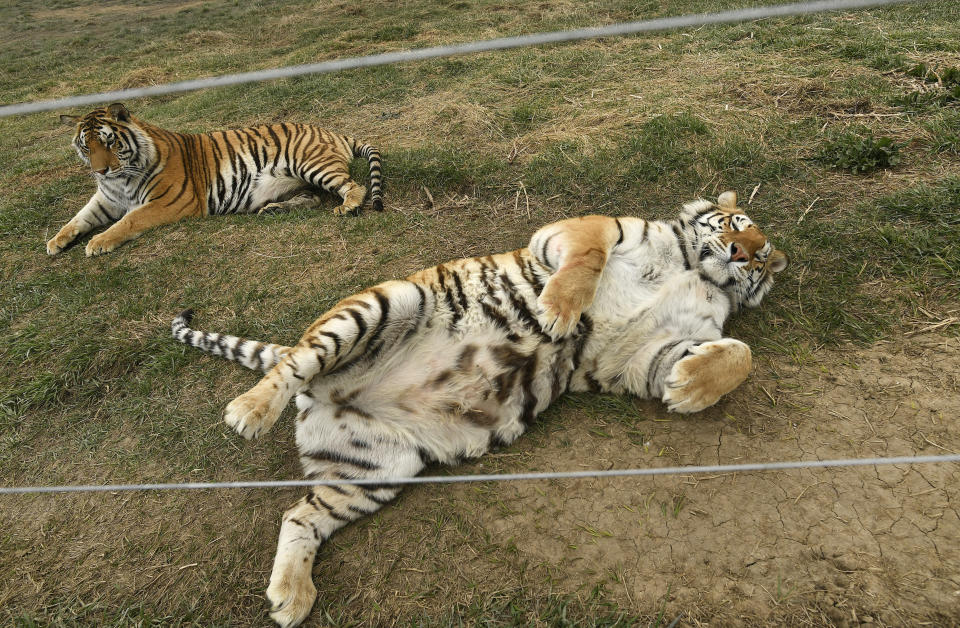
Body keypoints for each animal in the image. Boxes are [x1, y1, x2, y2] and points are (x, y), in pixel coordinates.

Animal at [46, 104, 382, 256]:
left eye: (110, 142)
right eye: (86, 147)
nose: (100, 171)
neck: (120, 179)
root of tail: (331, 132)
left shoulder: (170, 202)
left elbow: (129, 220)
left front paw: (97, 243)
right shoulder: (106, 198)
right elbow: (79, 217)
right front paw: (55, 241)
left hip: (310, 163)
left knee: (354, 186)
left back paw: (348, 206)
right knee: (312, 197)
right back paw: (274, 209)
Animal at [172, 190, 788, 624]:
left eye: (760, 257)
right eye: (735, 225)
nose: (746, 253)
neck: (694, 267)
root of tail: (321, 389)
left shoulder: (641, 352)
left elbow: (739, 354)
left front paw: (688, 388)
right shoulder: (584, 230)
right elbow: (585, 262)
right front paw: (558, 312)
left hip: (375, 468)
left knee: (299, 514)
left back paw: (291, 598)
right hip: (384, 303)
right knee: (294, 363)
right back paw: (249, 411)